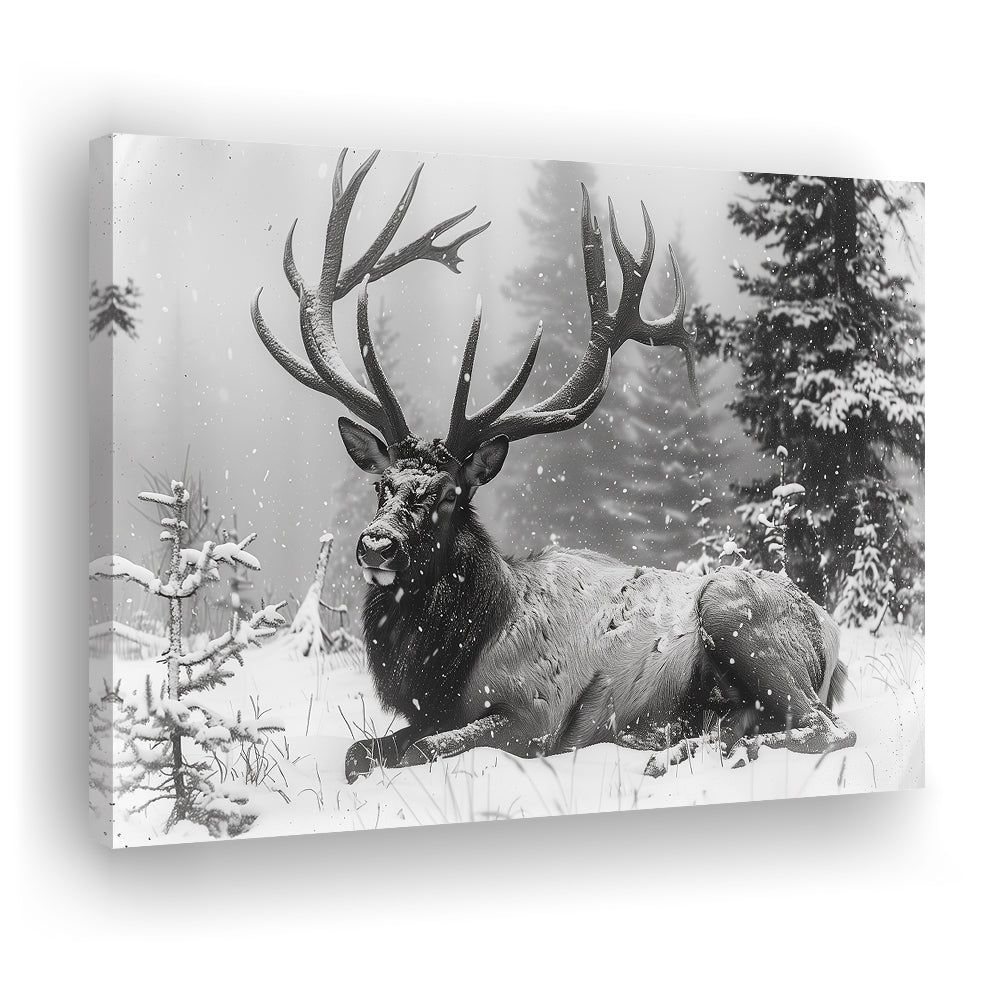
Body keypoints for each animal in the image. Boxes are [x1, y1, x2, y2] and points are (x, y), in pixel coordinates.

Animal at [252, 149, 857, 784]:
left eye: (449, 494)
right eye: (382, 487)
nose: (376, 544)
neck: (452, 663)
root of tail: (833, 638)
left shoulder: (536, 713)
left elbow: (424, 750)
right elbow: (357, 753)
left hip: (740, 616)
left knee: (825, 729)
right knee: (758, 720)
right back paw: (677, 741)